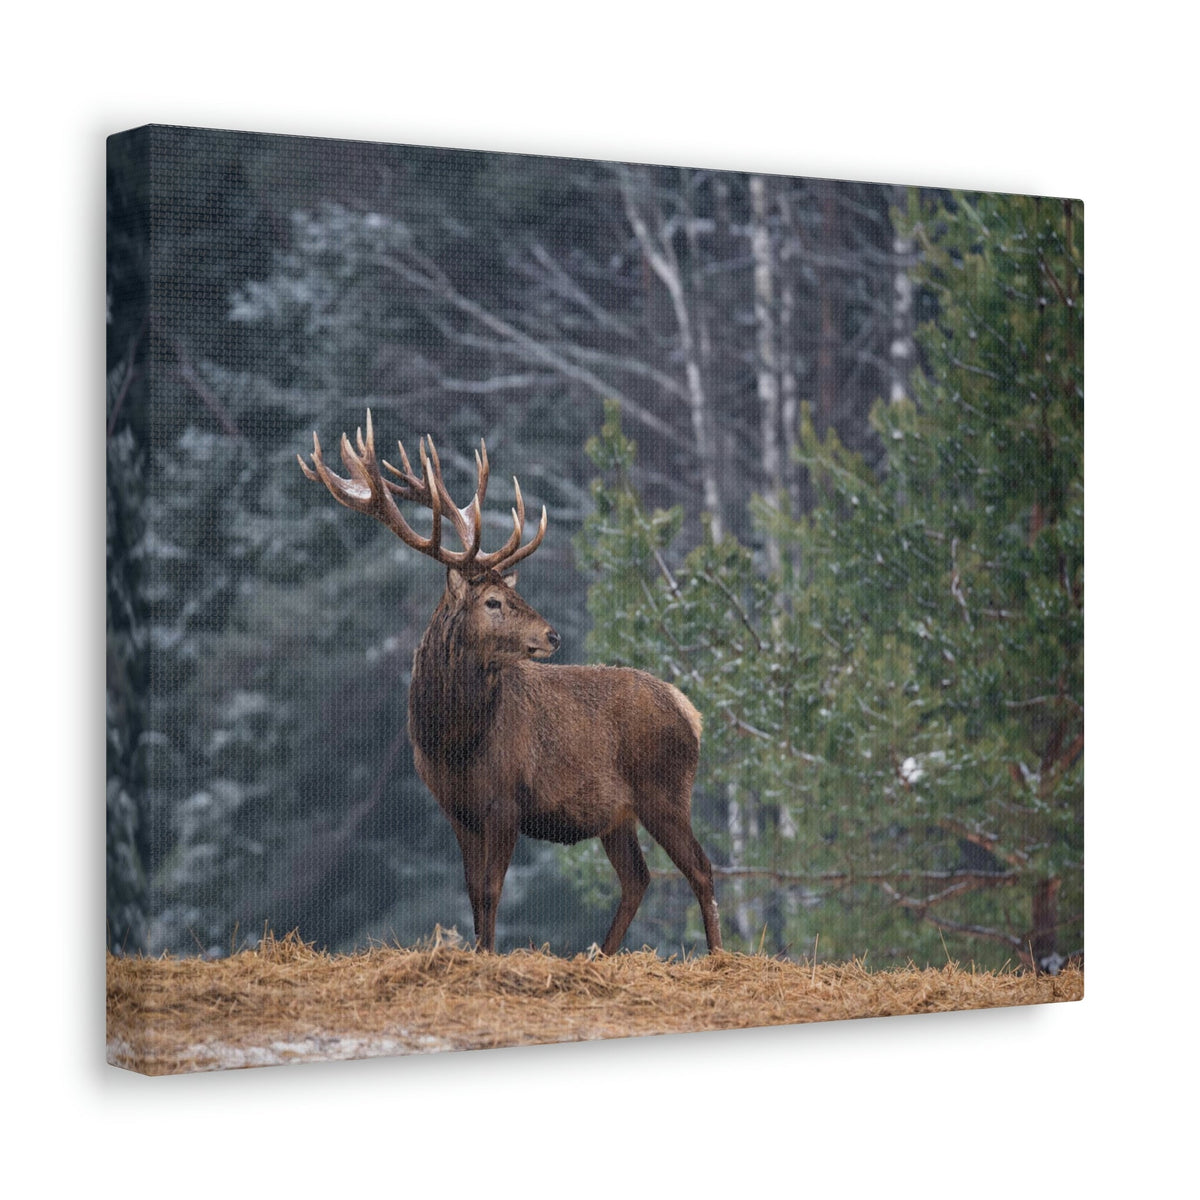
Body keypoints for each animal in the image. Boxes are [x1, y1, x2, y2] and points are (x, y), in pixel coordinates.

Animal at [299, 411, 723, 955]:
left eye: (508, 595)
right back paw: (601, 955)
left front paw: (487, 954)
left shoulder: (505, 800)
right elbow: (471, 889)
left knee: (700, 867)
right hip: (618, 814)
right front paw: (479, 950)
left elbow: (491, 888)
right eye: (493, 601)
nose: (553, 634)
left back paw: (717, 956)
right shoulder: (456, 809)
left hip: (665, 788)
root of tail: (690, 709)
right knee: (638, 878)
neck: (451, 743)